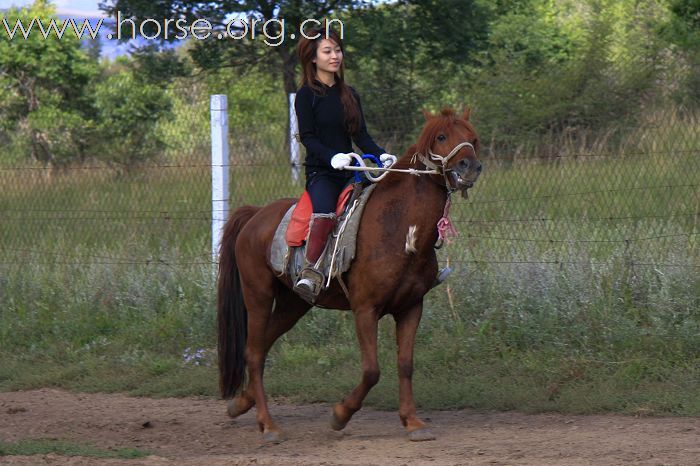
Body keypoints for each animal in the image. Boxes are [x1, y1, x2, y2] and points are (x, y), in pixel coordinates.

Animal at [219, 107, 482, 442]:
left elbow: (405, 364)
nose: (470, 166)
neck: (398, 227)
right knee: (253, 352)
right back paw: (268, 425)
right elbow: (372, 370)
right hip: (258, 297)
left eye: (473, 138)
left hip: (294, 303)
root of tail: (255, 215)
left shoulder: (411, 308)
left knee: (262, 347)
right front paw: (340, 415)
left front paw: (412, 422)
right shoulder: (365, 310)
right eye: (441, 136)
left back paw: (241, 403)